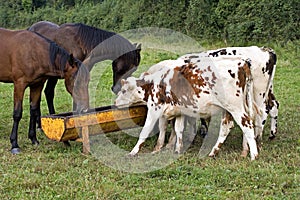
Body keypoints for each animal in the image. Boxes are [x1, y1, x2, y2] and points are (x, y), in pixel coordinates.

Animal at [115, 55, 258, 160]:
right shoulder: (178, 111)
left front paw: (133, 152)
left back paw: (254, 155)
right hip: (230, 108)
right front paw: (176, 149)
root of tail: (242, 62)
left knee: (246, 124)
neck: (154, 83)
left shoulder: (154, 109)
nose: (115, 102)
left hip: (236, 107)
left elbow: (145, 131)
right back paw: (215, 152)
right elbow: (178, 129)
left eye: (123, 90)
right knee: (227, 127)